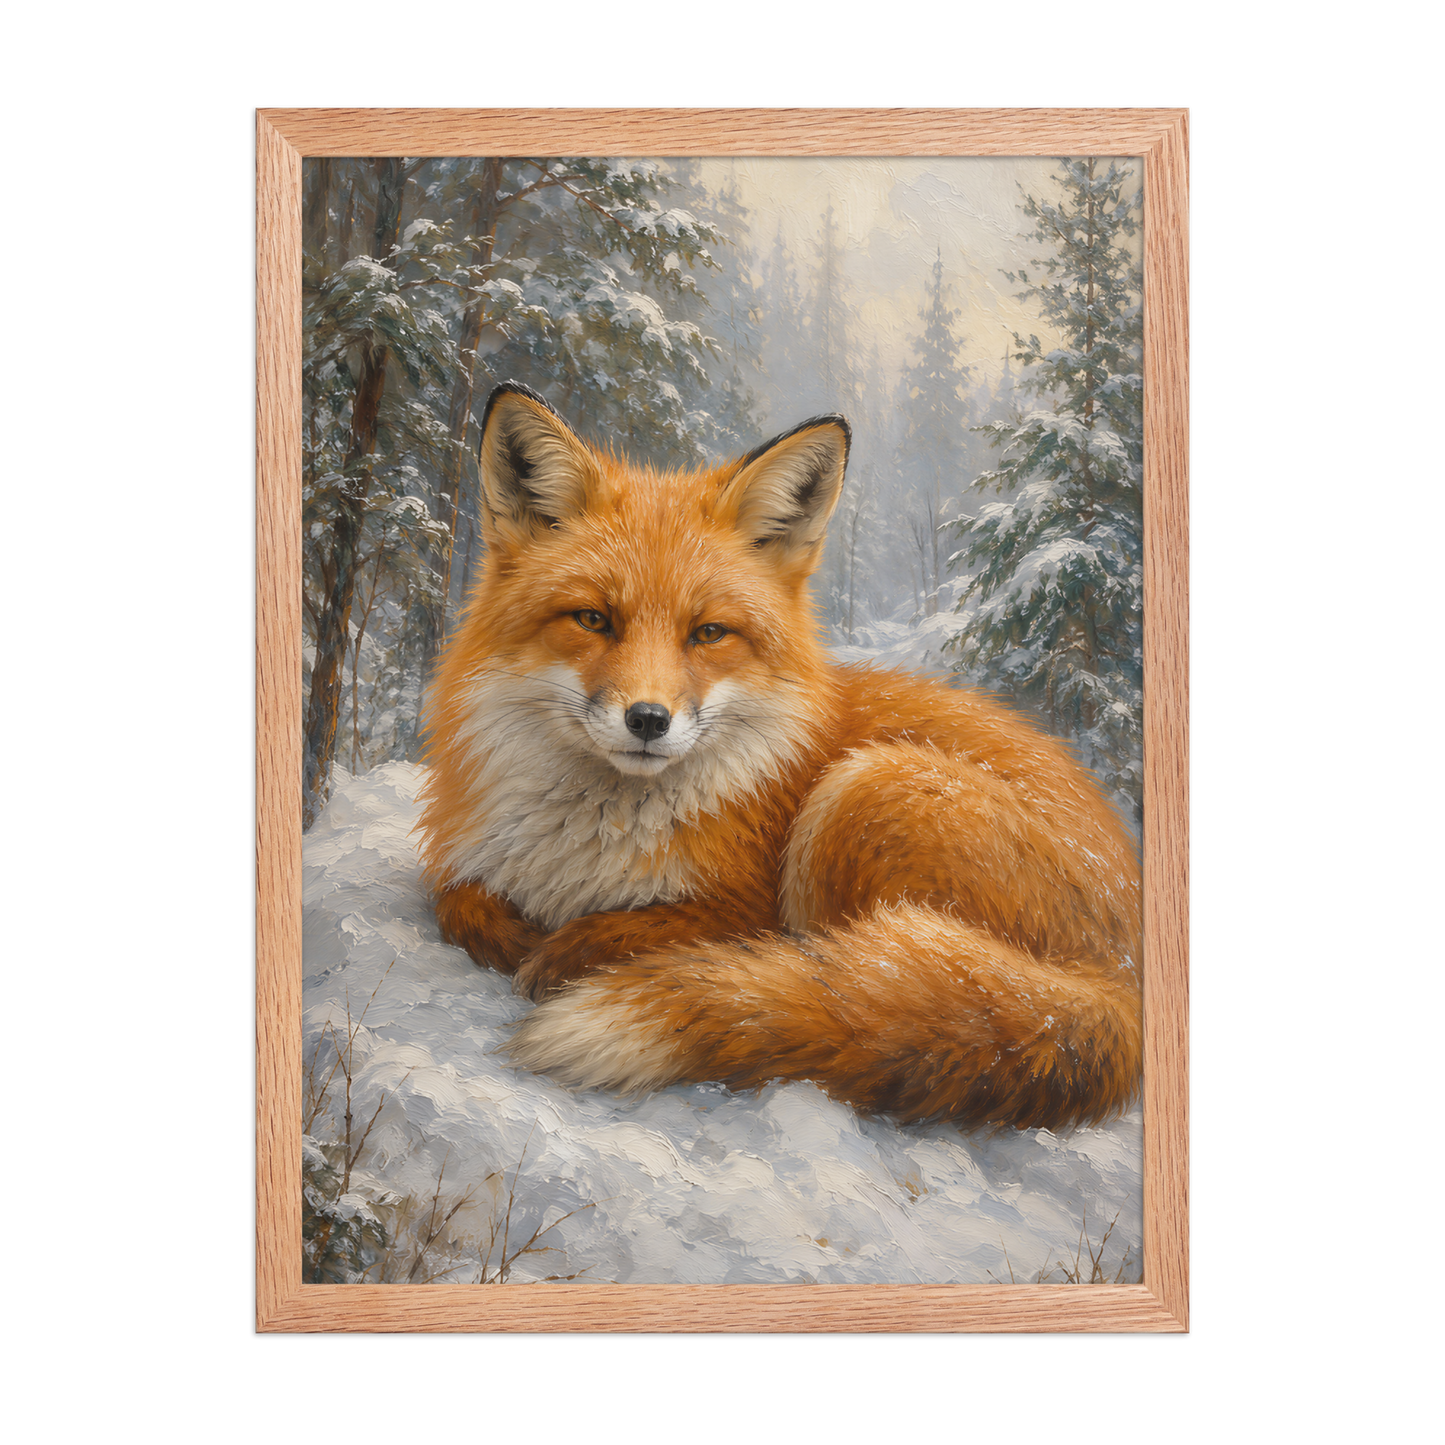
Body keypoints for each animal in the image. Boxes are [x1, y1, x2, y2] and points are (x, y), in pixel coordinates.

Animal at [416, 381, 1142, 1132]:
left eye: (709, 633)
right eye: (593, 619)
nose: (648, 719)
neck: (584, 845)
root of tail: (1125, 976)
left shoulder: (744, 905)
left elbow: (653, 928)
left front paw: (568, 951)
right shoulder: (469, 862)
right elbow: (457, 900)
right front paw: (512, 934)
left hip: (863, 790)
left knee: (849, 979)